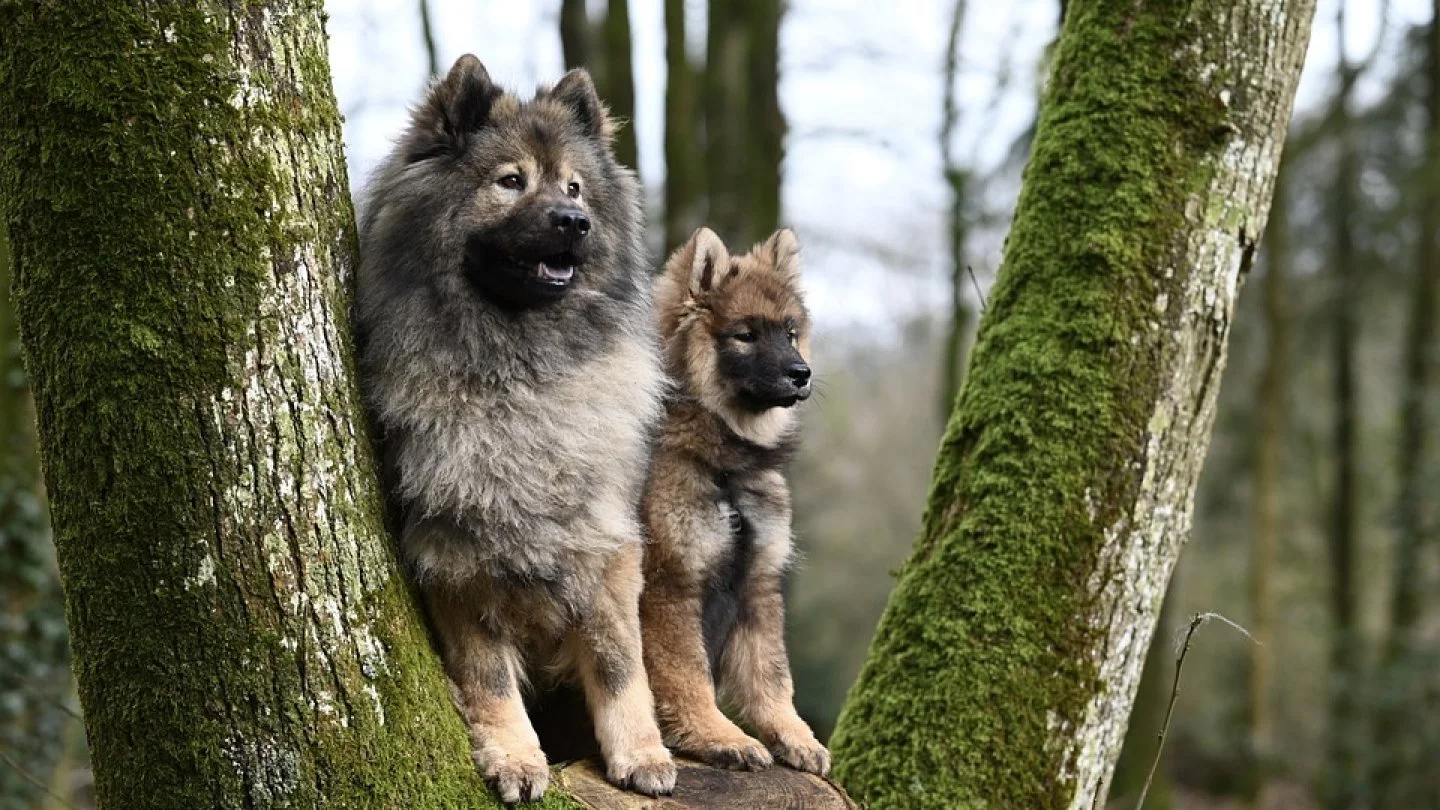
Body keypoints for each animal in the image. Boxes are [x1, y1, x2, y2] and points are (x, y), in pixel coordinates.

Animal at [636, 227, 829, 778]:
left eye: (789, 333)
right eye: (746, 335)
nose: (802, 373)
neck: (724, 468)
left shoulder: (757, 584)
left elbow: (772, 675)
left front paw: (795, 736)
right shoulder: (670, 585)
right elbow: (688, 674)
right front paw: (716, 735)